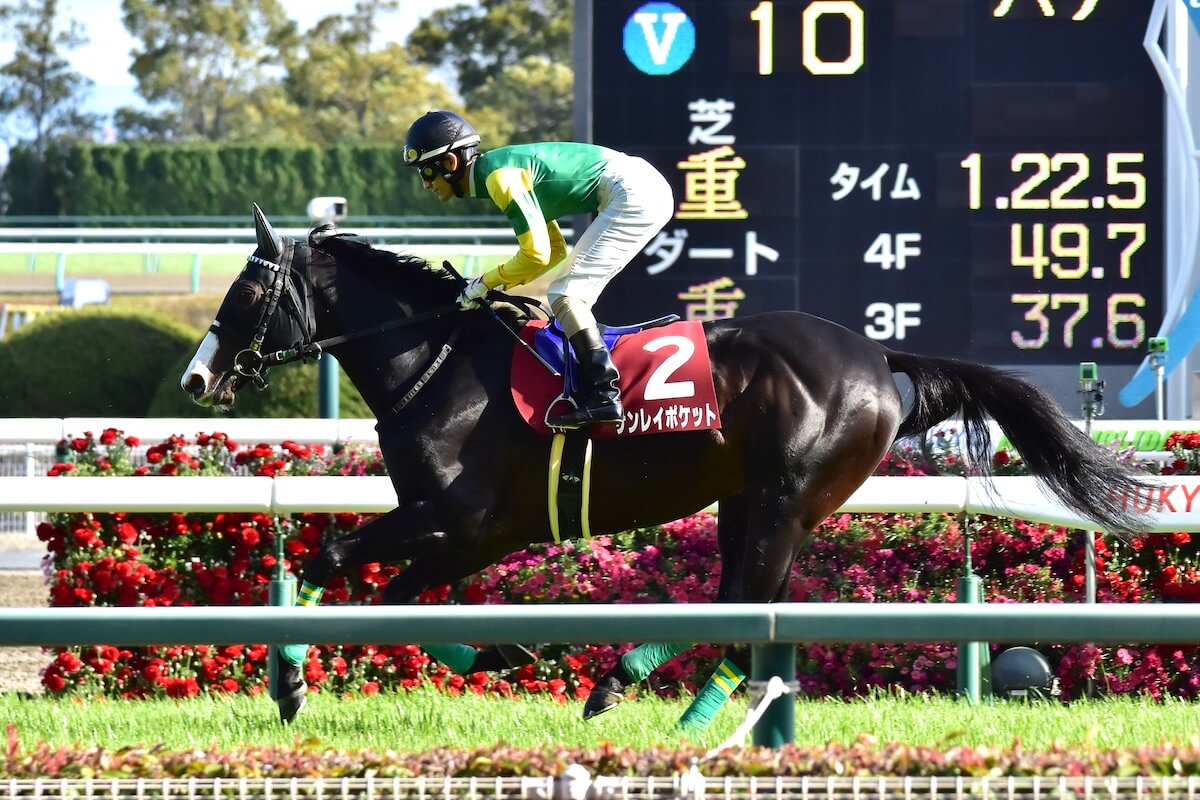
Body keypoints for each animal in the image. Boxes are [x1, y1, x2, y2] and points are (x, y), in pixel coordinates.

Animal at [182, 204, 1153, 725]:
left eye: (247, 291)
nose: (197, 377)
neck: (439, 362)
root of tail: (880, 356)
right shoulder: (470, 533)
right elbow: (390, 596)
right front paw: (499, 647)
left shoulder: (460, 518)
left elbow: (350, 572)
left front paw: (292, 685)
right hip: (753, 500)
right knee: (748, 605)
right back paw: (690, 708)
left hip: (784, 496)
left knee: (741, 601)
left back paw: (626, 685)